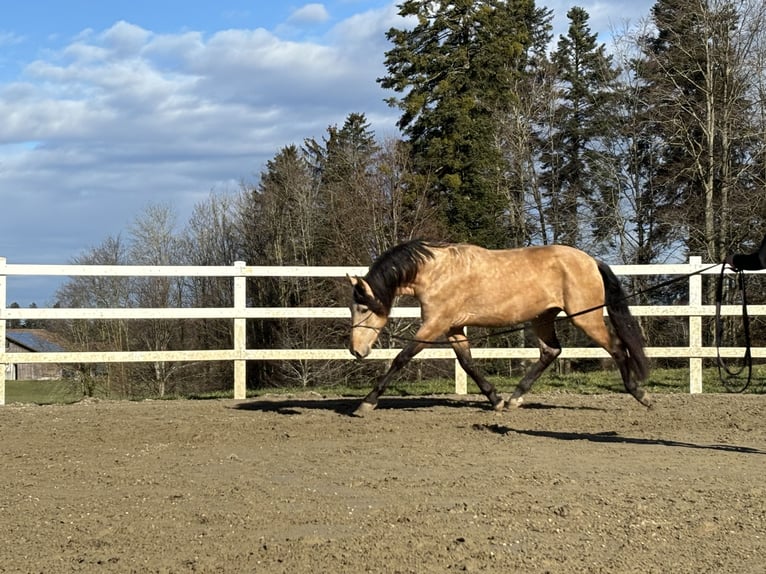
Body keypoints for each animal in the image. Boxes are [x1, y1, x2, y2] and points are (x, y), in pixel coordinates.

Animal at [350, 240, 656, 418]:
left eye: (363, 308)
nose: (355, 351)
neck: (436, 272)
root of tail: (592, 260)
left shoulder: (435, 324)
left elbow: (402, 358)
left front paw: (366, 403)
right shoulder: (453, 327)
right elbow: (468, 363)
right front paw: (495, 399)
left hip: (586, 318)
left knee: (616, 347)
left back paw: (641, 394)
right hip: (542, 318)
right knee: (551, 351)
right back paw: (513, 399)